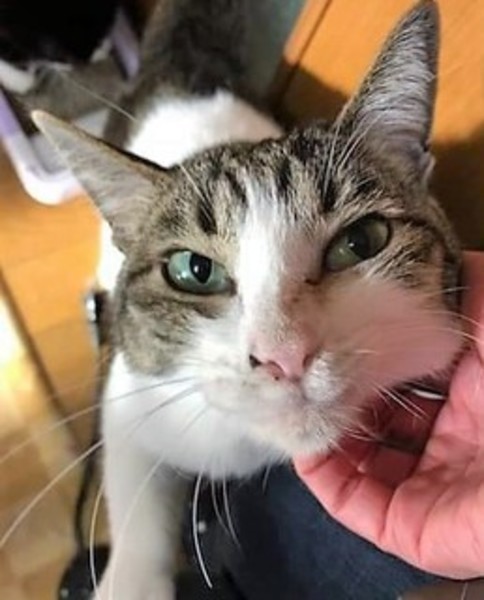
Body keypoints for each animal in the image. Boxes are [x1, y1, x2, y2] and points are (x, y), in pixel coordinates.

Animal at [34, 0, 464, 598]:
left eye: (360, 242)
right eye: (194, 271)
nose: (285, 356)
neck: (251, 449)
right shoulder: (135, 399)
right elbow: (136, 504)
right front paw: (132, 579)